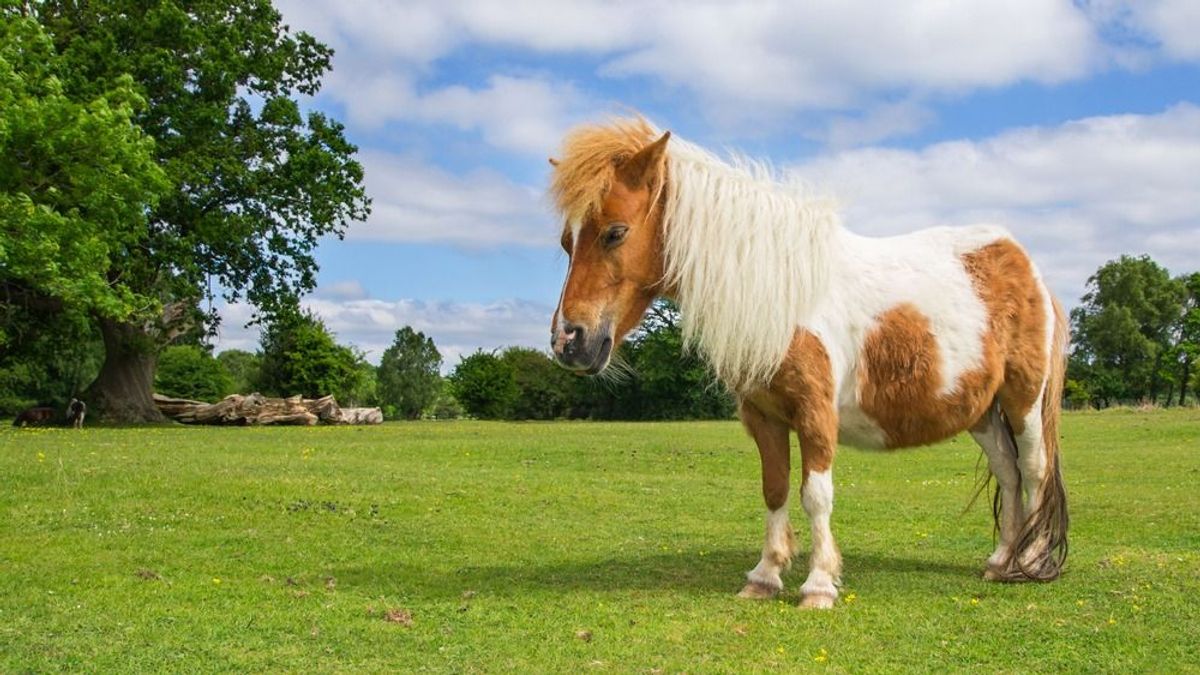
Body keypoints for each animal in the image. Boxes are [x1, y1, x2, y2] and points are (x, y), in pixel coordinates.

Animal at [549, 118, 1065, 607]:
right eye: (565, 243)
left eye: (615, 232)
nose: (568, 341)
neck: (783, 297)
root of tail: (1022, 264)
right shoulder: (765, 416)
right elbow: (775, 488)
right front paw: (764, 577)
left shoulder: (816, 414)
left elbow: (816, 495)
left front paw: (818, 586)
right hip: (982, 413)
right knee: (1008, 471)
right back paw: (1000, 561)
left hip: (1022, 400)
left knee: (1035, 469)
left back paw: (1033, 563)